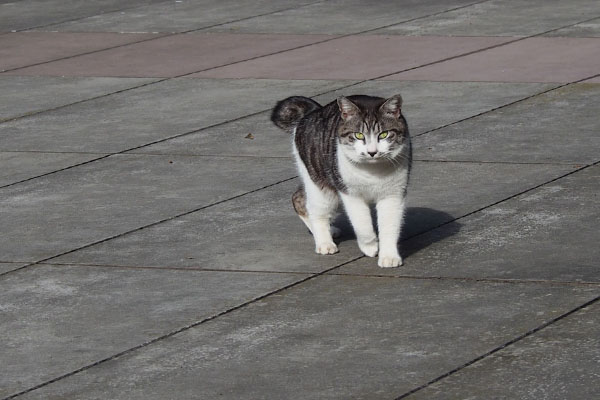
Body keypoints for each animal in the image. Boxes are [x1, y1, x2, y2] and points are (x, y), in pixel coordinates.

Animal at [274, 94, 410, 268]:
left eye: (384, 135)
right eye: (359, 135)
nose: (372, 152)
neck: (373, 171)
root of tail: (314, 110)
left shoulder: (393, 194)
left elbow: (390, 226)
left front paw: (389, 256)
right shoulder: (350, 194)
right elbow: (362, 223)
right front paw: (370, 246)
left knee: (299, 197)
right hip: (324, 189)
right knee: (311, 207)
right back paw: (324, 242)